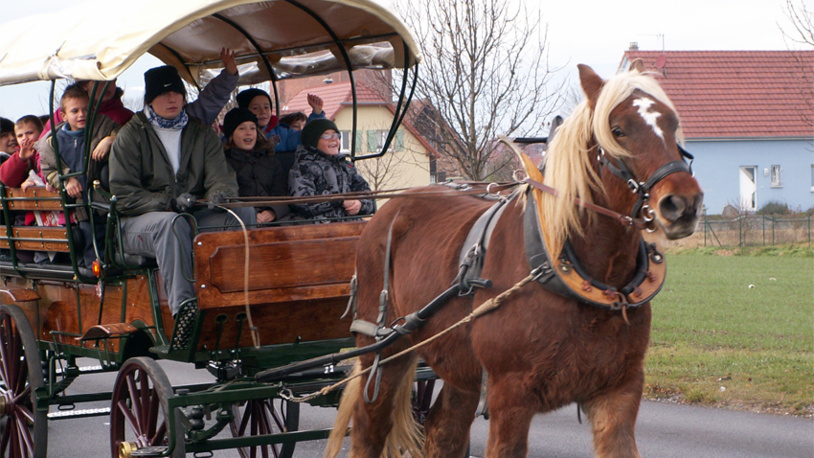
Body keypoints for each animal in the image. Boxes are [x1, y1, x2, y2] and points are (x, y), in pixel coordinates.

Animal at [326, 61, 708, 458]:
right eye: (617, 129)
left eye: (671, 123)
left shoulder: (619, 391)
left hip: (460, 369)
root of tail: (390, 209)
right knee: (369, 429)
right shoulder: (510, 396)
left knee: (443, 430)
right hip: (384, 351)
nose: (683, 203)